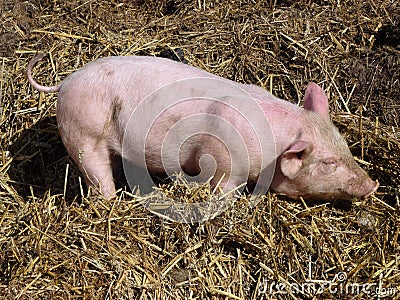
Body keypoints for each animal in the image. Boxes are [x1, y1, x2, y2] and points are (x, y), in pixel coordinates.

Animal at [27, 53, 378, 200]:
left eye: (344, 148)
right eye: (327, 163)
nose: (373, 185)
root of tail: (65, 82)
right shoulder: (224, 161)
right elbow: (223, 189)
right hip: (84, 133)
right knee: (98, 178)